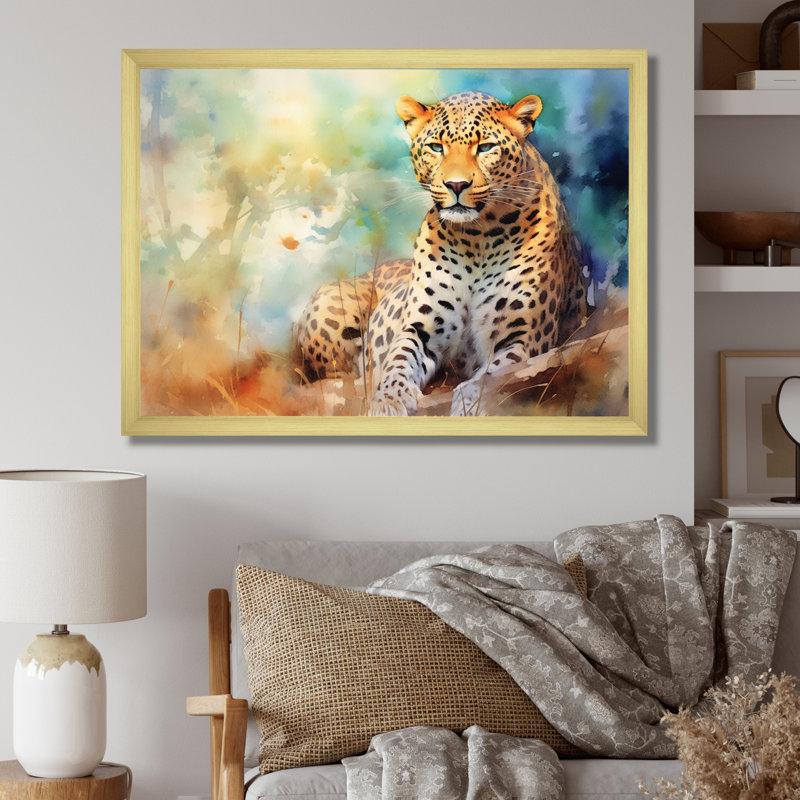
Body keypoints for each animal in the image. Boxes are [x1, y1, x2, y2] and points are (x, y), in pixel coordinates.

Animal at [294, 90, 589, 415]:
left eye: (486, 147)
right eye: (436, 147)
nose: (456, 185)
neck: (478, 237)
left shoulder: (524, 338)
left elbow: (493, 374)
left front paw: (470, 401)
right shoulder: (419, 328)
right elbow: (398, 360)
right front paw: (389, 400)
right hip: (328, 302)